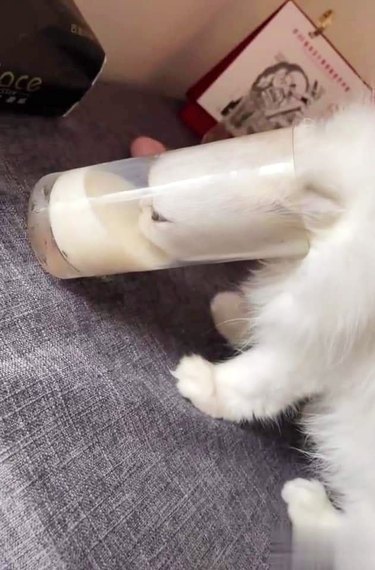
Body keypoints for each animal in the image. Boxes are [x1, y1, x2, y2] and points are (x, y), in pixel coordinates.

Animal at [172, 105, 375, 564]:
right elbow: (257, 321)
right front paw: (229, 313)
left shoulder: (309, 350)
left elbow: (249, 383)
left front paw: (199, 381)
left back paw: (305, 500)